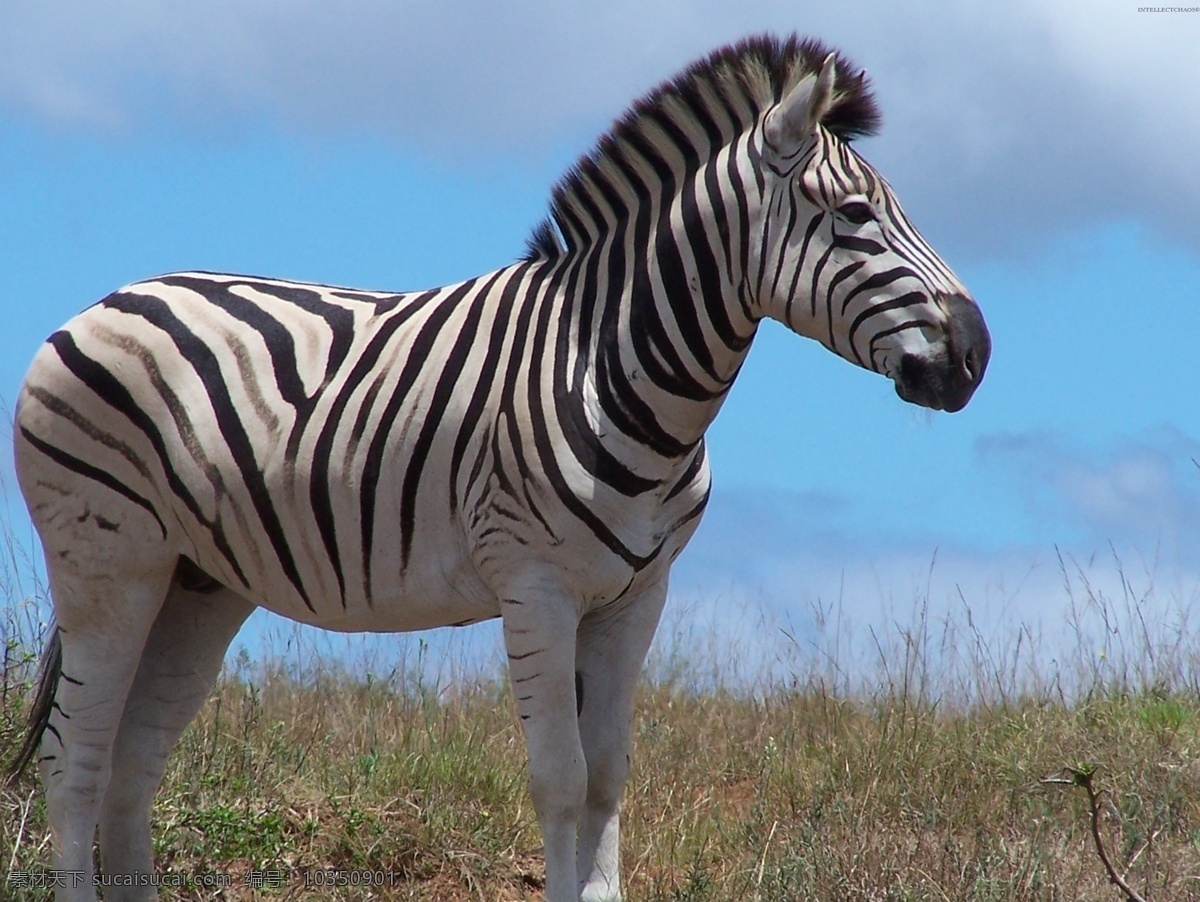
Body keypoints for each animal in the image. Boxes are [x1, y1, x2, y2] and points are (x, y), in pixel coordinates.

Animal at [9, 35, 984, 902]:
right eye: (854, 216)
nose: (976, 354)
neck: (607, 364)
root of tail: (104, 301)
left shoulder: (636, 596)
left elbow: (608, 775)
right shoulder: (536, 586)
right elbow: (560, 778)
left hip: (197, 582)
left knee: (132, 761)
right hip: (108, 562)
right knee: (73, 760)